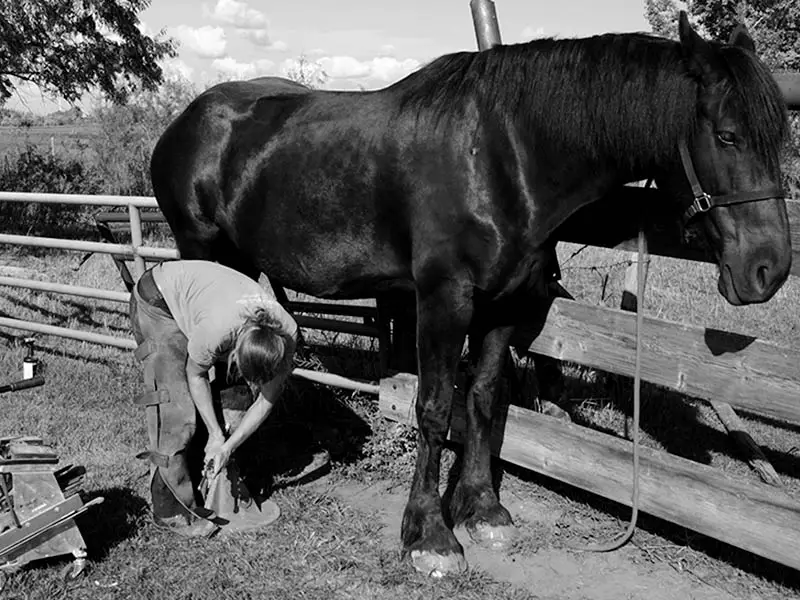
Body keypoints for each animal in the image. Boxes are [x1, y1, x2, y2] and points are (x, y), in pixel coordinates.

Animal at [153, 15, 792, 576]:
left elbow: (485, 398)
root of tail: (183, 124)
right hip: (203, 252)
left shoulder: (505, 304)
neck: (502, 155)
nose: (770, 269)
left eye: (779, 136)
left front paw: (482, 509)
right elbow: (436, 408)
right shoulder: (444, 300)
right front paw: (429, 536)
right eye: (727, 135)